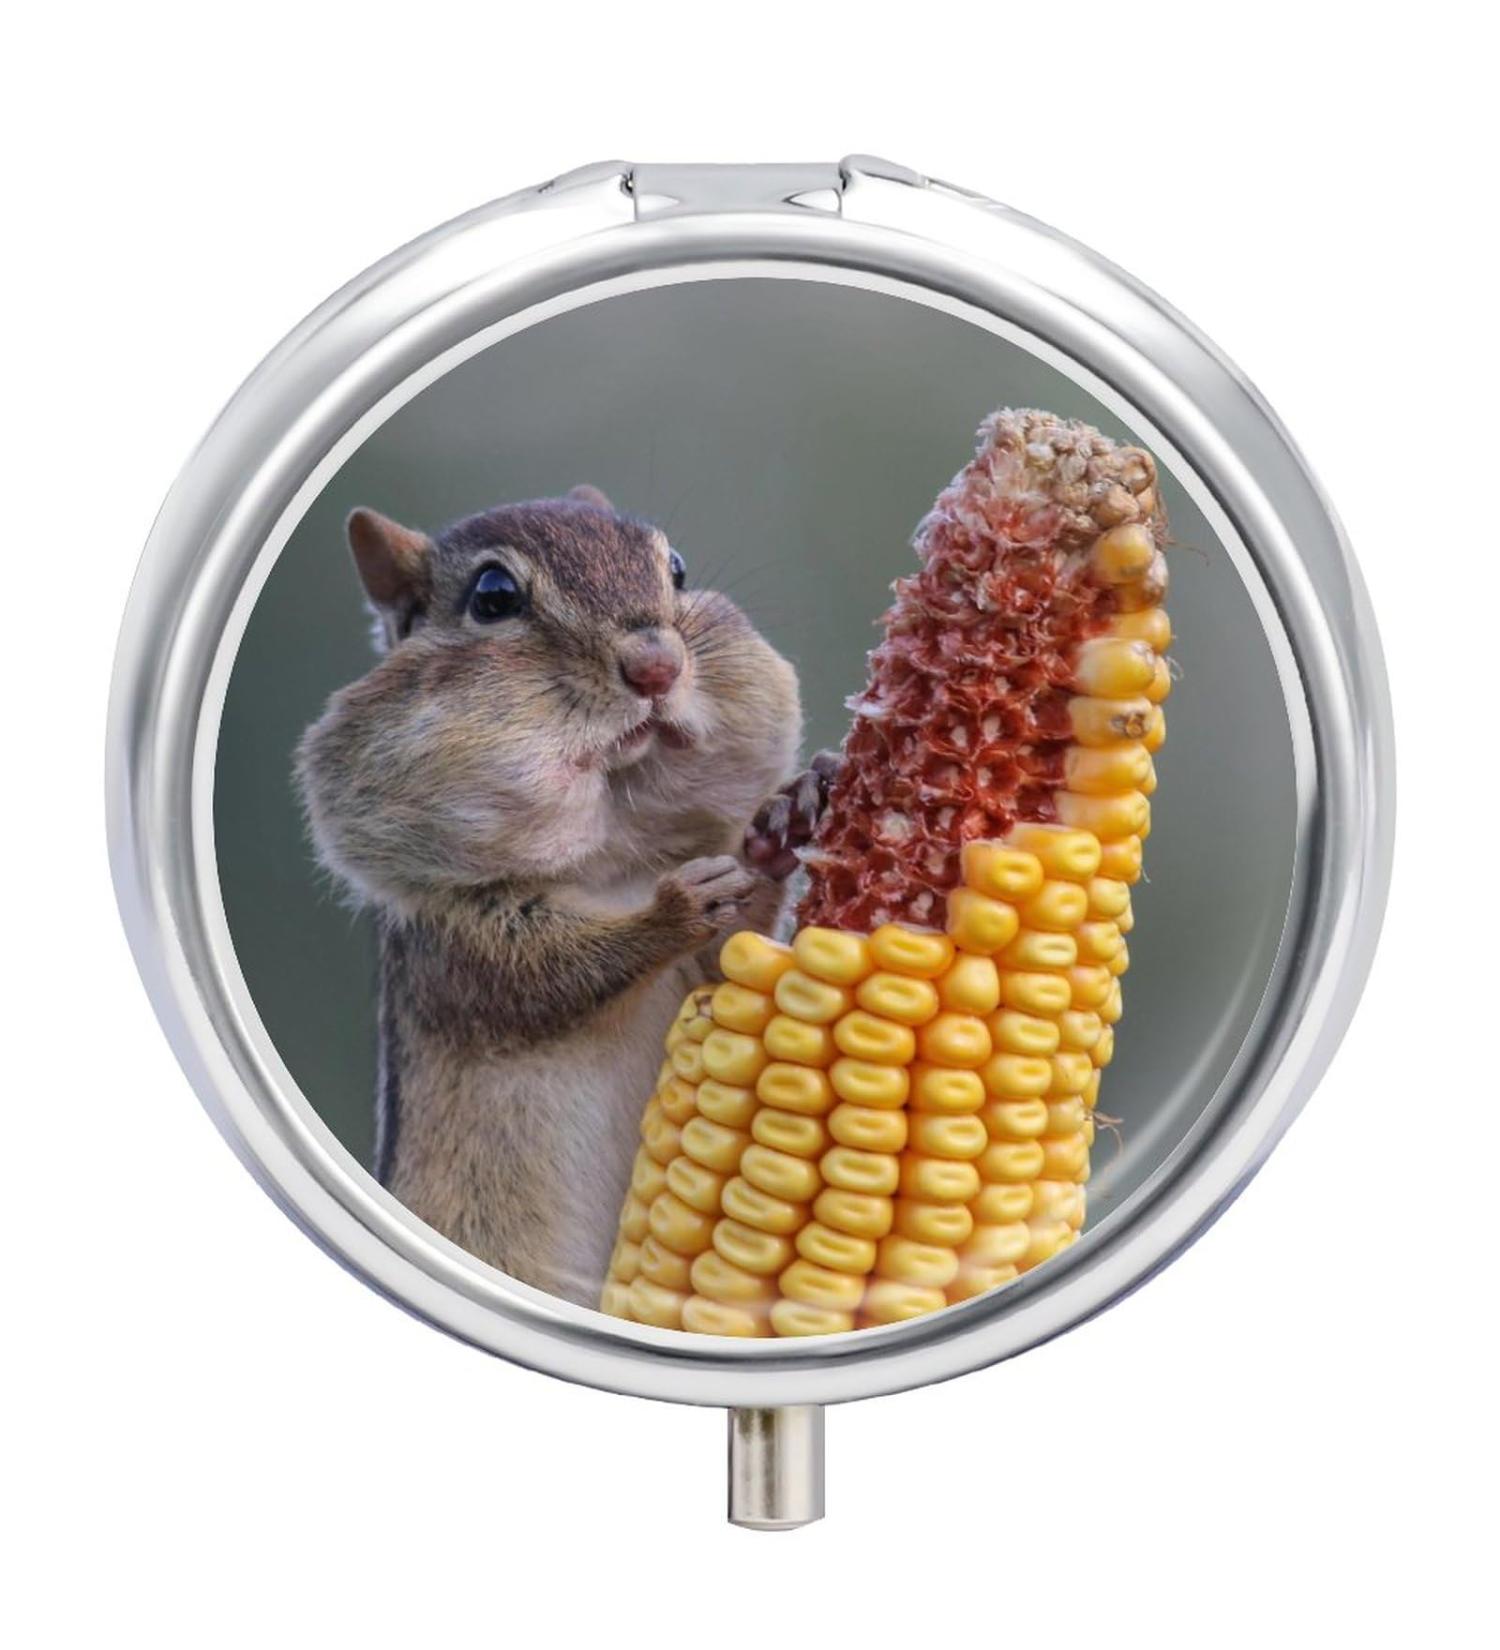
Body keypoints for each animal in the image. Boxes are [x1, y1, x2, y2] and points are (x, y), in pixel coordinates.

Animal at [296, 487, 834, 1305]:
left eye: (677, 569)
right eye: (493, 597)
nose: (657, 665)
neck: (613, 861)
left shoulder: (702, 977)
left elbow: (731, 962)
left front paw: (781, 822)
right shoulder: (455, 946)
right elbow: (547, 977)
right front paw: (672, 911)